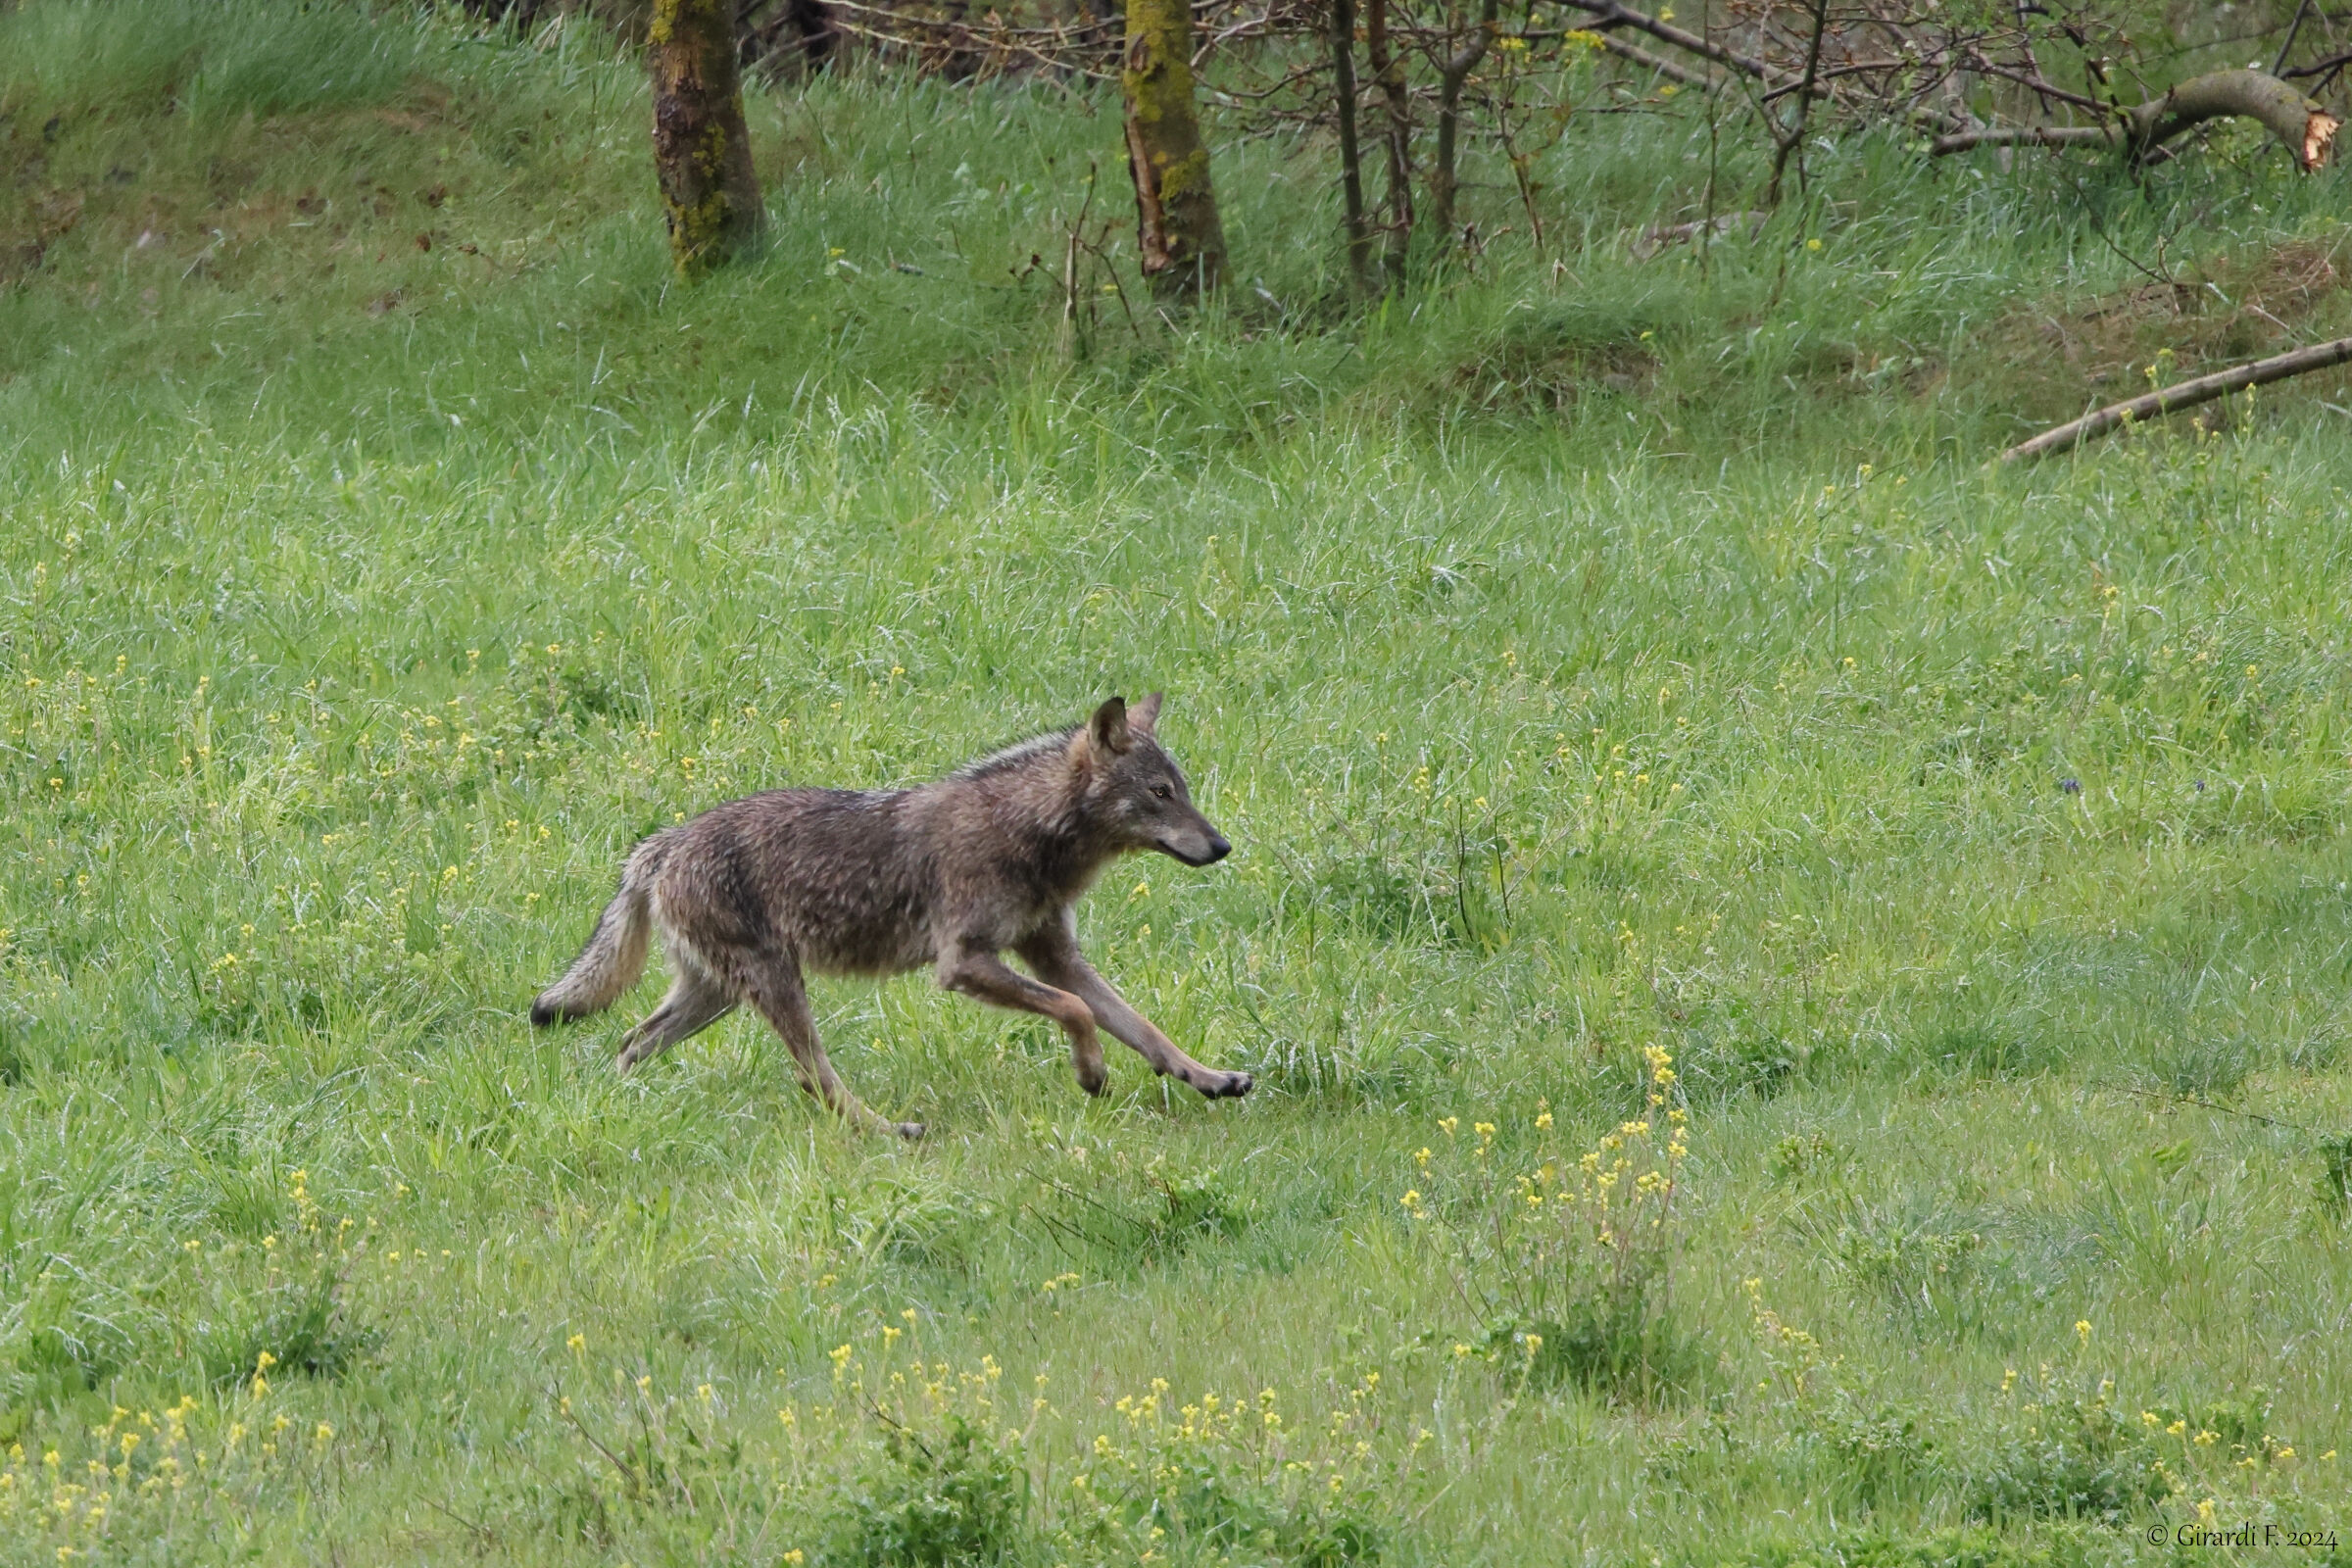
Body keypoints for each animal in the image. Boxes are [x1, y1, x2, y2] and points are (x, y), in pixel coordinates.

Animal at [529, 694, 1252, 1137]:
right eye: (1159, 794)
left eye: (1183, 791)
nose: (1222, 846)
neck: (1031, 831)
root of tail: (660, 845)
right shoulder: (962, 963)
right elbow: (1077, 1013)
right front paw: (1092, 1073)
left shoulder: (1055, 955)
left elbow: (1145, 1029)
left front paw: (1210, 1078)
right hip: (775, 987)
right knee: (816, 1080)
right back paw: (893, 1131)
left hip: (716, 996)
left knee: (631, 1043)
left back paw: (622, 1111)